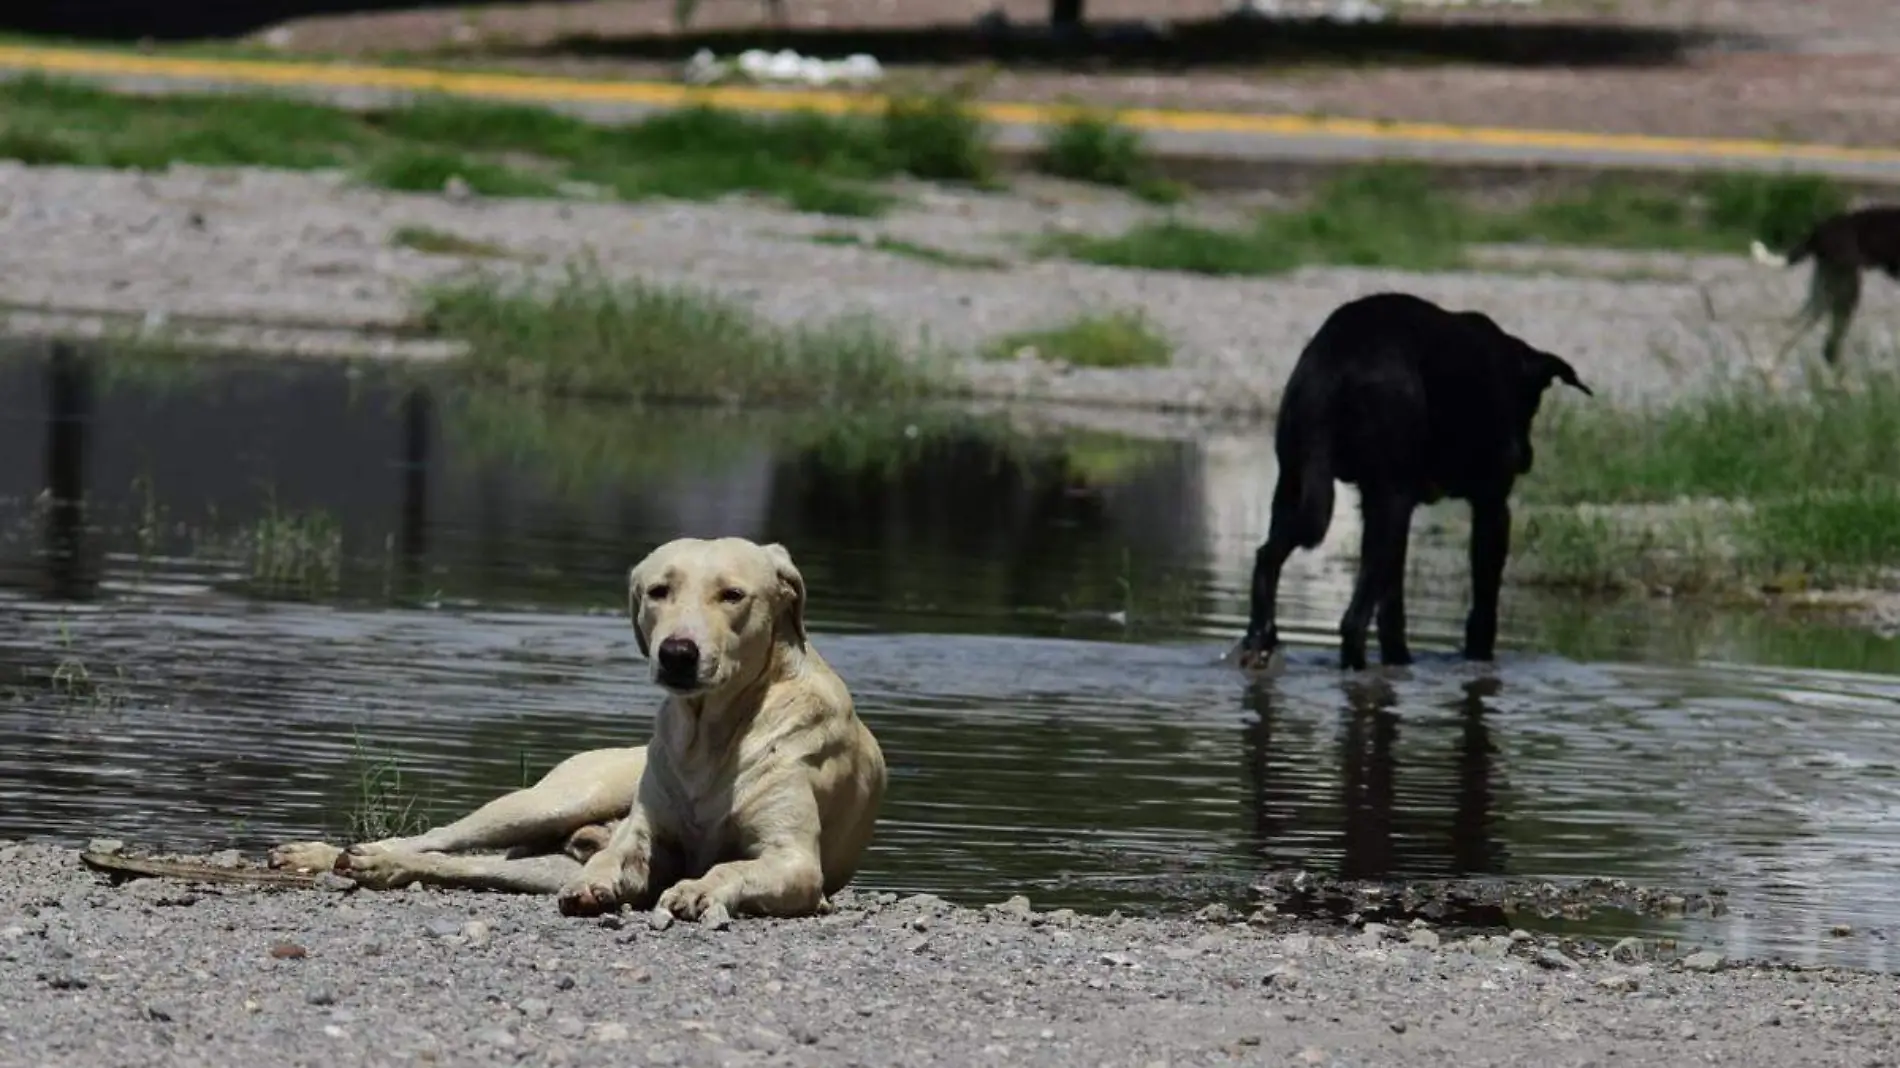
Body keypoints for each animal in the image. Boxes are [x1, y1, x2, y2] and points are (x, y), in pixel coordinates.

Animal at [271, 535, 885, 919]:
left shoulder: (793, 862)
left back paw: (376, 866)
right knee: (436, 838)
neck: (709, 735)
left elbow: (732, 867)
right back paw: (339, 855)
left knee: (461, 864)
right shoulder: (641, 836)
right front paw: (599, 881)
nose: (677, 653)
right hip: (545, 802)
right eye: (658, 591)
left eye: (733, 595)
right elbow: (619, 855)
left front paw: (696, 889)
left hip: (534, 859)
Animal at [1238, 290, 1596, 668]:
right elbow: (1484, 605)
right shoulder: (1492, 505)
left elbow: (1392, 607)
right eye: (1531, 406)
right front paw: (1477, 659)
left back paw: (1260, 638)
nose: (1525, 456)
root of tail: (1333, 362)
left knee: (1267, 559)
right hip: (1390, 500)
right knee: (1353, 621)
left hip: (1295, 484)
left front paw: (1399, 660)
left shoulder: (1381, 505)